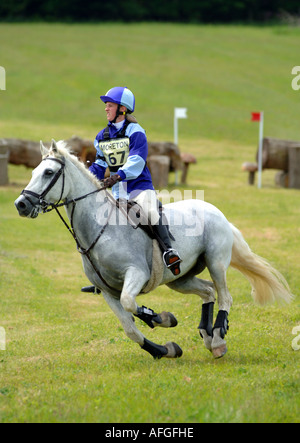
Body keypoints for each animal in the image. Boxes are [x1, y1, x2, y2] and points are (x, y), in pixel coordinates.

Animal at [14, 141, 292, 360]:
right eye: (34, 171)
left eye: (48, 172)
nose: (21, 204)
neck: (100, 228)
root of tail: (215, 211)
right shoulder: (107, 291)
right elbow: (130, 329)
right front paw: (165, 349)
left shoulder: (136, 274)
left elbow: (131, 303)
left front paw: (163, 318)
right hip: (180, 278)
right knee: (208, 292)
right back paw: (207, 336)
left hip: (216, 262)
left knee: (225, 296)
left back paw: (218, 340)